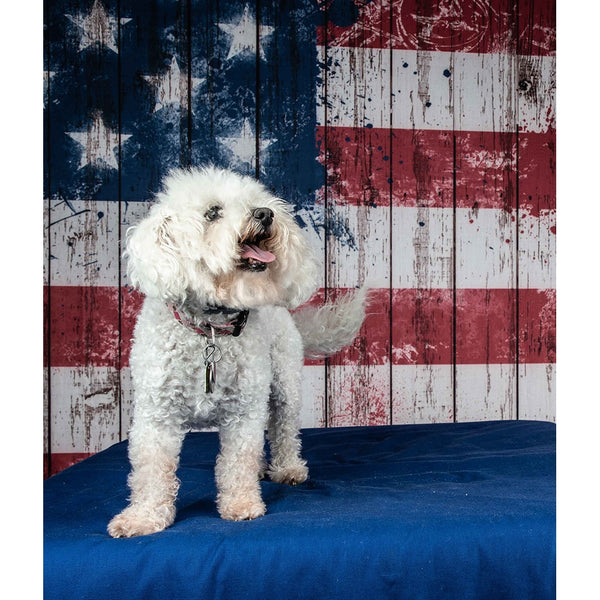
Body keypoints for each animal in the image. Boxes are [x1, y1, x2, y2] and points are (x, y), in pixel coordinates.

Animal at [108, 166, 366, 536]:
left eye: (257, 201)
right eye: (212, 213)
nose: (265, 214)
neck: (211, 329)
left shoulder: (244, 411)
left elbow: (238, 460)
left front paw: (242, 504)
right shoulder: (157, 415)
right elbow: (151, 469)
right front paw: (143, 517)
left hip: (284, 385)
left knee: (284, 430)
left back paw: (287, 468)